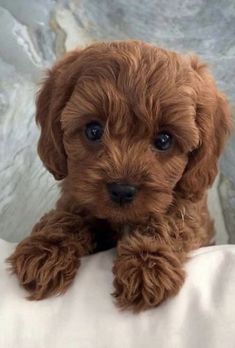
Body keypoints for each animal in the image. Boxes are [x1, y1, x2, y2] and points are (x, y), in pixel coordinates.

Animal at [7, 40, 231, 310]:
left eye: (164, 140)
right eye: (93, 130)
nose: (122, 190)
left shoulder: (190, 207)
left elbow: (169, 220)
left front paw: (147, 265)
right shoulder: (76, 195)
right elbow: (67, 216)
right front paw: (46, 250)